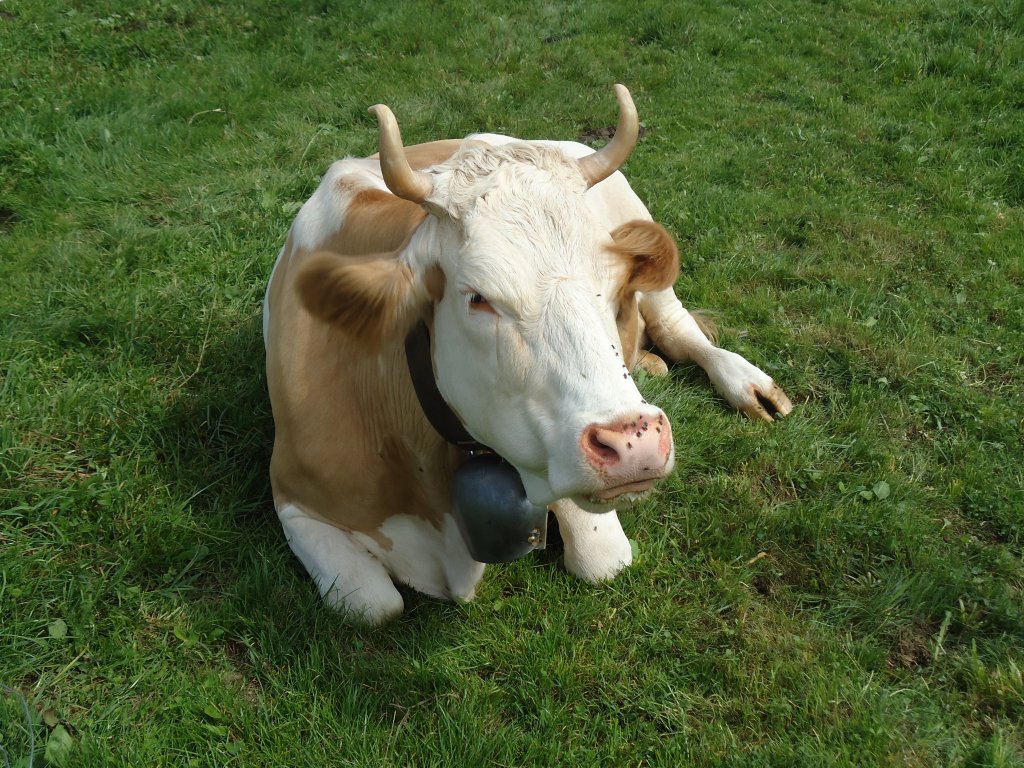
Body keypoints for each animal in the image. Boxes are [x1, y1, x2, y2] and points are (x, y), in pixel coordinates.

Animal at [264, 85, 790, 626]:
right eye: (477, 296)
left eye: (615, 283)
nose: (636, 445)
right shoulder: (293, 498)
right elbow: (374, 605)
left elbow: (603, 560)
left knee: (680, 329)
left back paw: (746, 384)